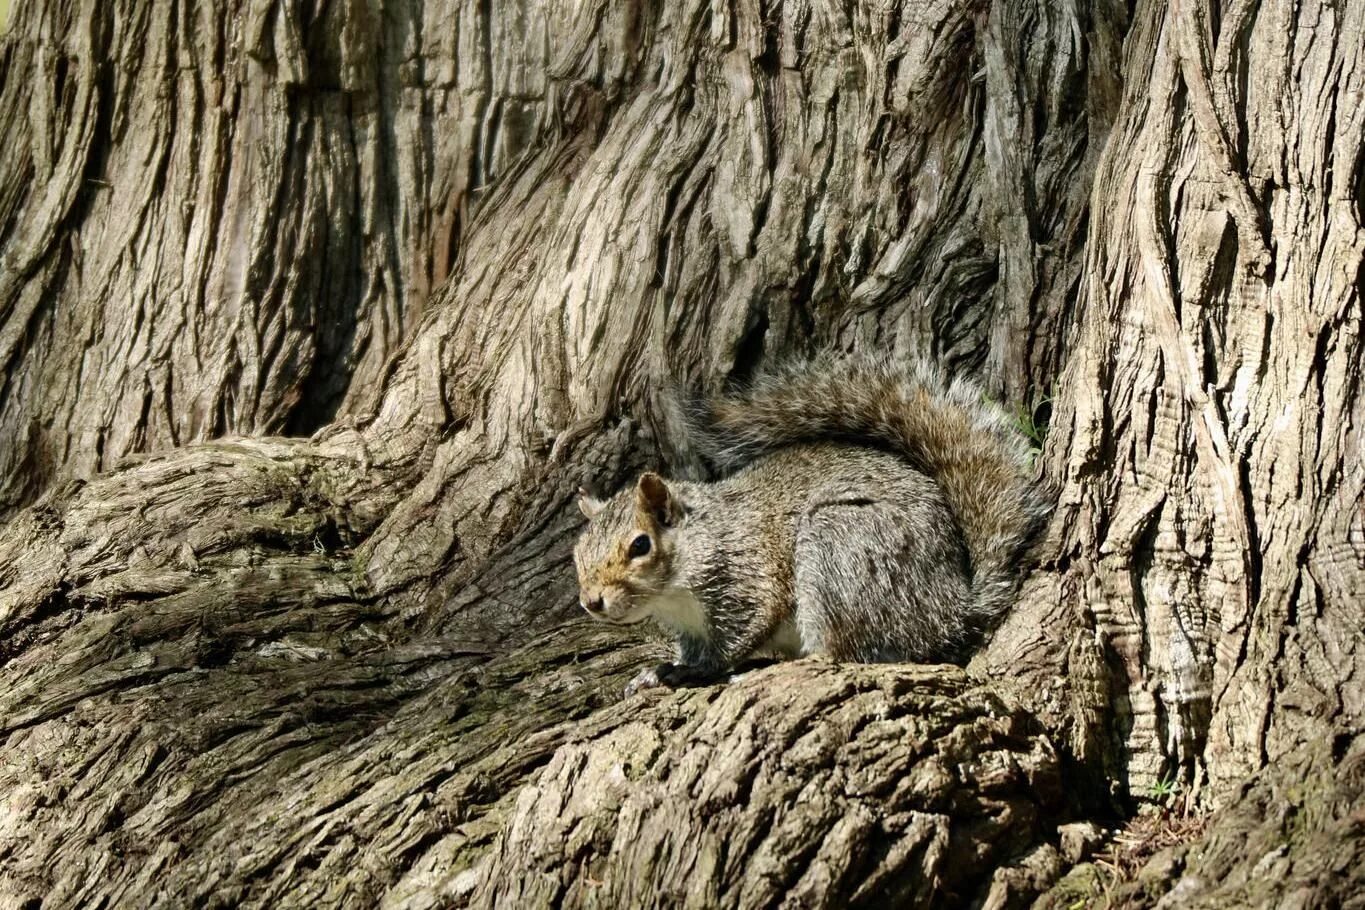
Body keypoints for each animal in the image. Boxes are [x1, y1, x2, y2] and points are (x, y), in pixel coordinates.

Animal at [567, 351, 1042, 693]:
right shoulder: (691, 625)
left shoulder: (744, 573)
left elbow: (742, 632)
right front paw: (661, 670)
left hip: (839, 547)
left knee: (842, 654)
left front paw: (690, 672)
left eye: (640, 545)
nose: (591, 602)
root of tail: (953, 610)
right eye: (577, 554)